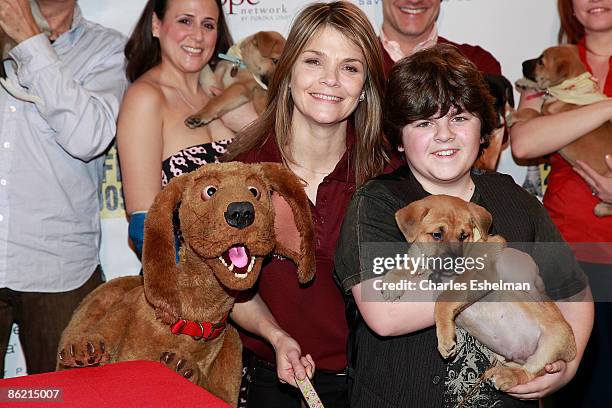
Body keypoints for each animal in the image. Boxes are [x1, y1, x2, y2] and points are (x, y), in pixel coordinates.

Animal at [380, 195, 576, 392]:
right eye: (437, 234)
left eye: (463, 236)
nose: (453, 263)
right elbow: (409, 264)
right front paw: (392, 281)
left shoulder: (477, 276)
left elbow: (444, 299)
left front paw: (445, 339)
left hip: (552, 342)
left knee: (531, 372)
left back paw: (506, 376)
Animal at [512, 44, 612, 217]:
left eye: (541, 61)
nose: (523, 63)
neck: (568, 87)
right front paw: (525, 83)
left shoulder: (544, 118)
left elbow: (530, 112)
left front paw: (512, 116)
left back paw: (601, 208)